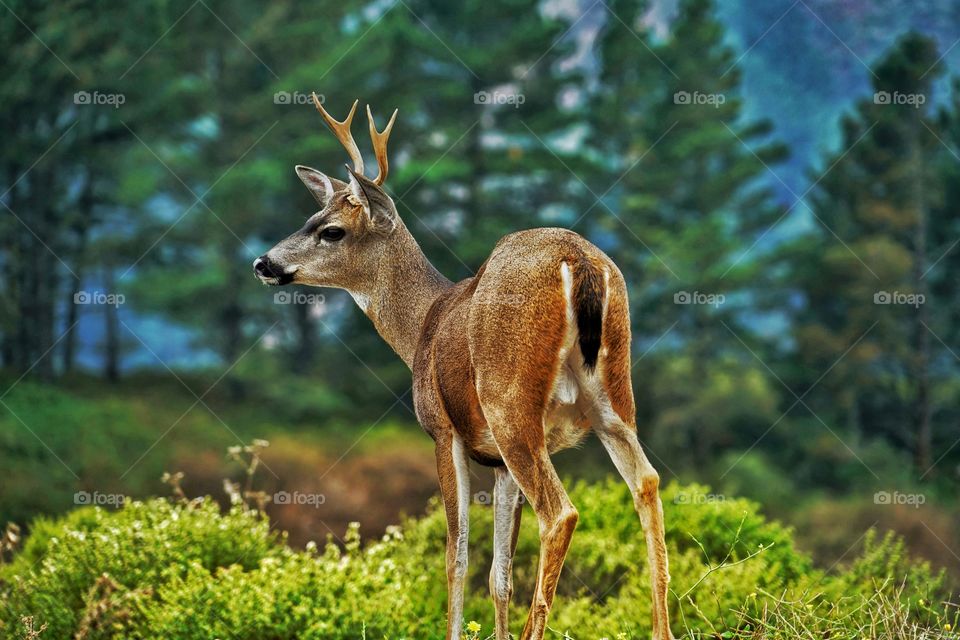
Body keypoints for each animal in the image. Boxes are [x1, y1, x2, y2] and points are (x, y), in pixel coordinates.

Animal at [253, 95, 676, 640]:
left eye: (332, 231)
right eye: (311, 214)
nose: (263, 263)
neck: (421, 328)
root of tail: (579, 262)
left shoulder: (443, 429)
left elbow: (456, 558)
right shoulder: (496, 462)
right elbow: (499, 574)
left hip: (509, 400)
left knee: (561, 512)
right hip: (614, 394)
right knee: (646, 482)